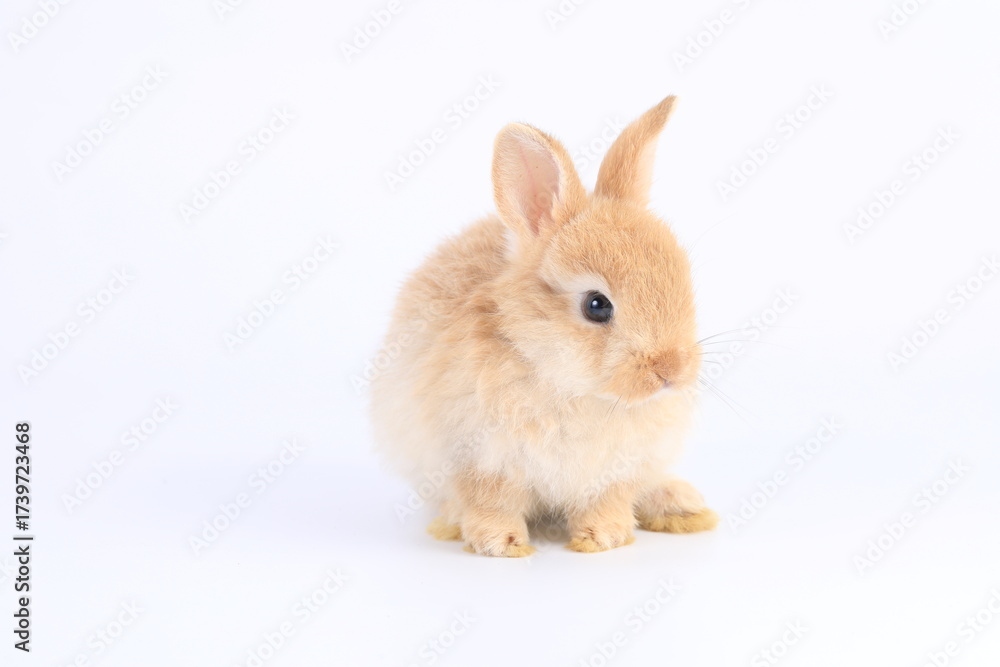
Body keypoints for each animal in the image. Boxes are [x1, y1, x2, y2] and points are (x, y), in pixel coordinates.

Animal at [371, 95, 718, 557]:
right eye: (596, 306)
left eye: (682, 279)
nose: (671, 372)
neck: (568, 382)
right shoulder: (480, 459)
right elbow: (490, 501)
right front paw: (501, 544)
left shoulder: (617, 469)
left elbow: (608, 499)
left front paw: (603, 537)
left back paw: (682, 505)